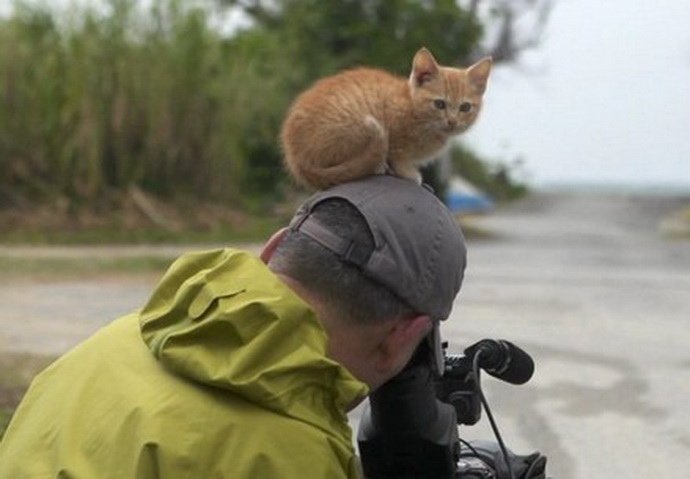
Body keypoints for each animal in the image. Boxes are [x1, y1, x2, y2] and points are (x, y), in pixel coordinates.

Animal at [280, 47, 490, 190]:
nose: (452, 121)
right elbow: (398, 153)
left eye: (465, 107)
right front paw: (409, 173)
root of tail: (297, 160)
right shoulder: (393, 128)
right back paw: (378, 165)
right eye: (439, 104)